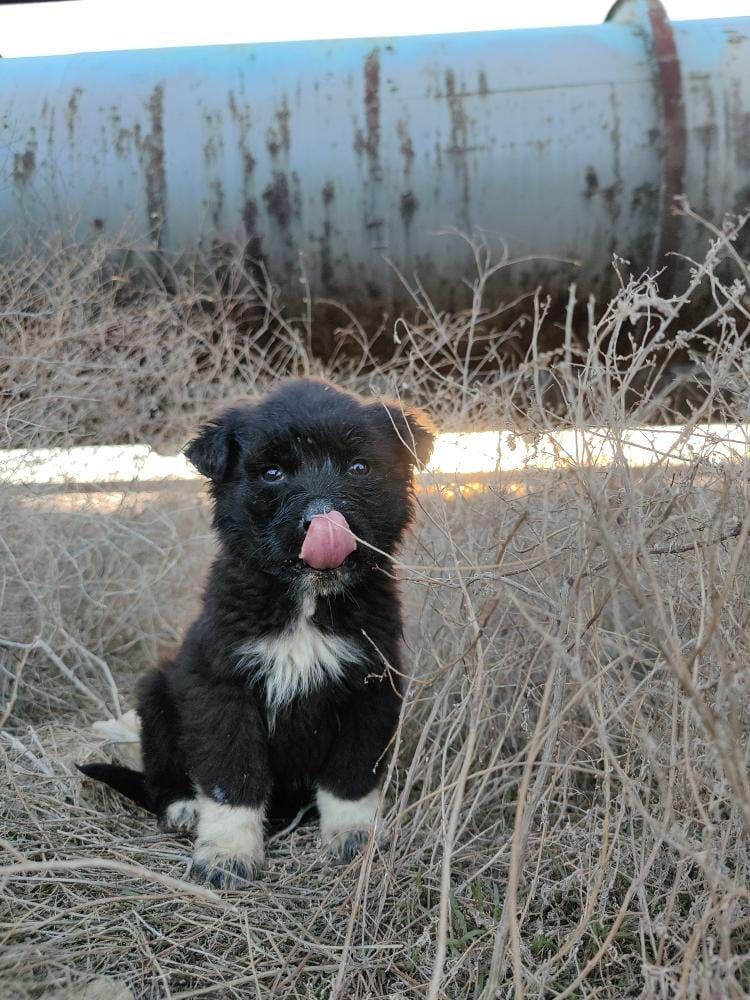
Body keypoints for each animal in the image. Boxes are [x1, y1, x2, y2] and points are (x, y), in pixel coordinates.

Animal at [78, 378, 434, 888]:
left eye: (359, 467)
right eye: (272, 474)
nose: (322, 522)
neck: (305, 603)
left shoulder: (372, 687)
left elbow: (351, 774)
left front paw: (355, 836)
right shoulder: (222, 688)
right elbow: (234, 777)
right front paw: (228, 854)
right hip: (159, 692)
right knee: (160, 773)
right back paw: (183, 806)